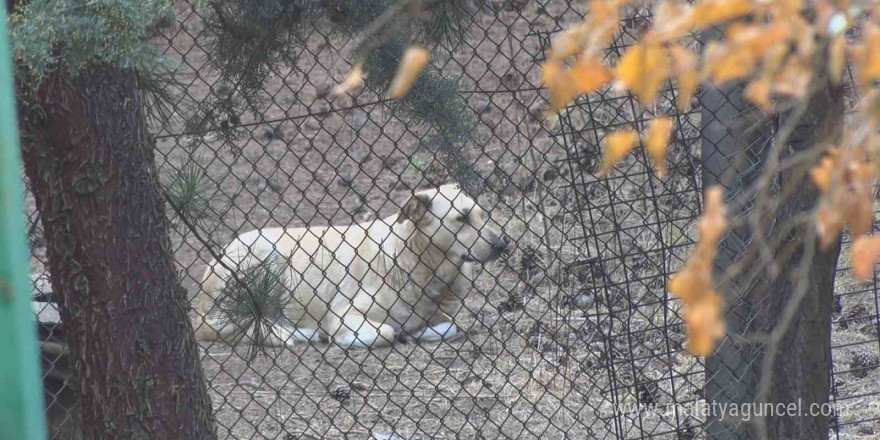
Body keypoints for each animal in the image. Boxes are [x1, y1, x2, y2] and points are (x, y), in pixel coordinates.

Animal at [194, 182, 508, 348]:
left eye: (481, 214)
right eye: (461, 218)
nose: (503, 245)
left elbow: (447, 326)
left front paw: (417, 332)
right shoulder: (344, 314)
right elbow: (386, 331)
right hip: (265, 255)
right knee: (238, 327)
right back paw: (296, 334)